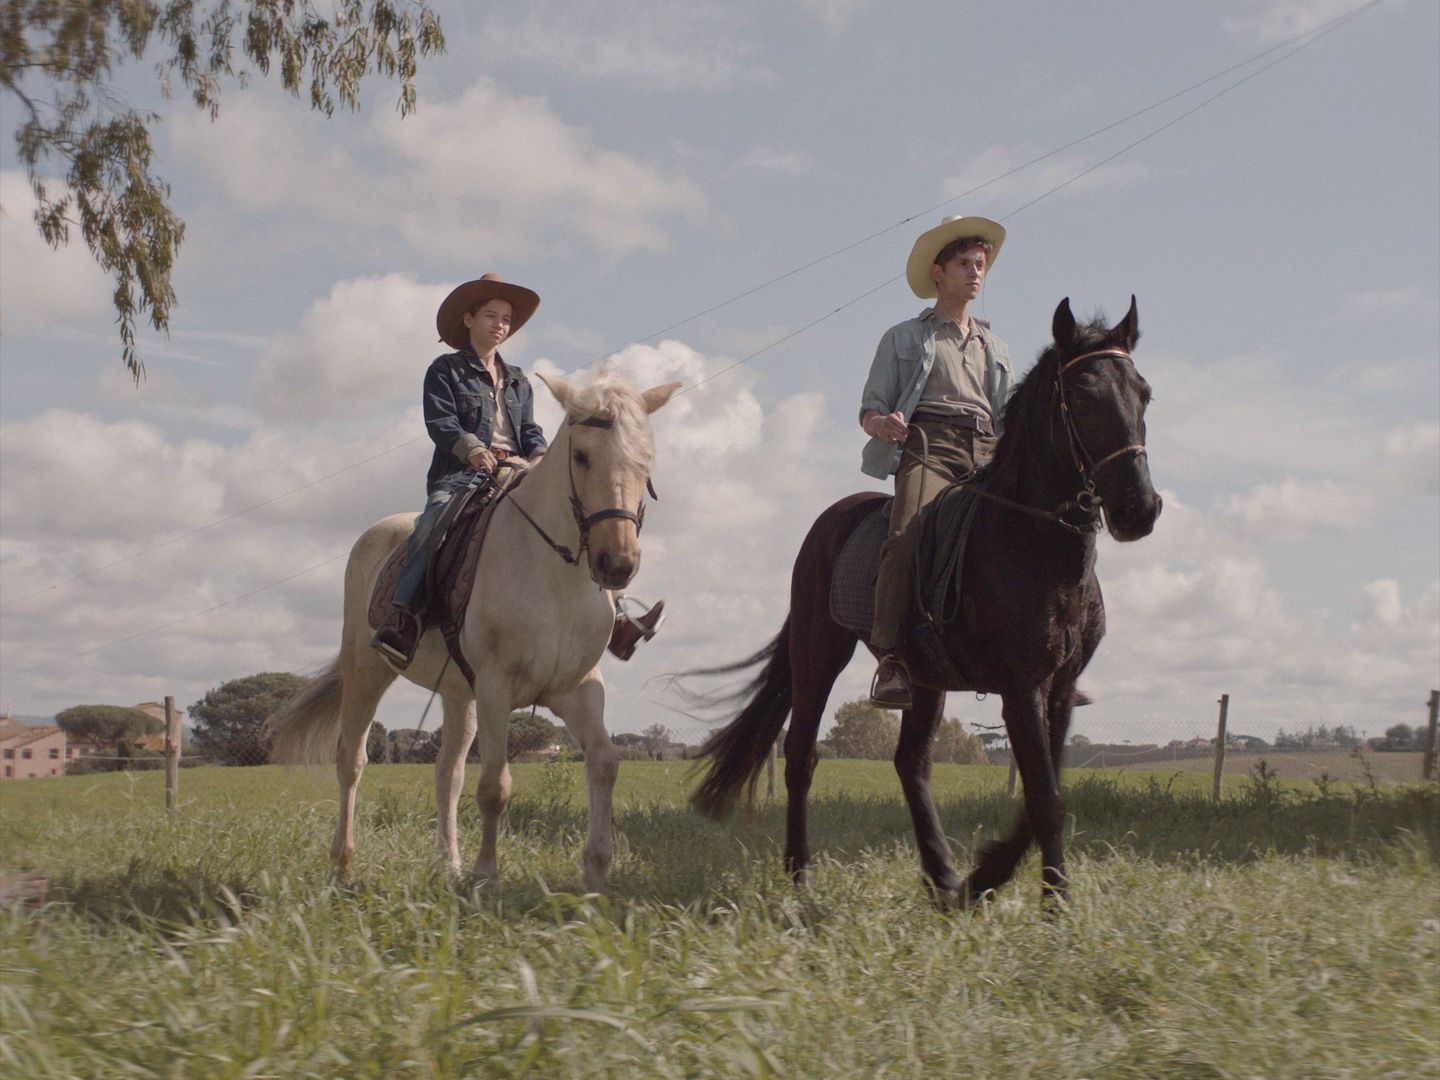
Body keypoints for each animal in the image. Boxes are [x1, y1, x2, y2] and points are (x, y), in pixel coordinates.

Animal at [269, 371, 679, 887]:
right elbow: (494, 786)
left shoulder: (577, 688)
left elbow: (605, 763)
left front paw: (596, 872)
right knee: (352, 761)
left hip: (457, 694)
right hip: (367, 671)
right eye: (582, 456)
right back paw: (343, 864)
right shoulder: (496, 687)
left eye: (645, 460)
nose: (617, 564)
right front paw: (487, 875)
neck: (554, 576)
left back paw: (450, 863)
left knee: (447, 772)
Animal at [691, 300, 1163, 910]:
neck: (1032, 539)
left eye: (1143, 393)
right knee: (800, 755)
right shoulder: (1021, 686)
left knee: (910, 765)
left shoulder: (1060, 688)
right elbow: (1045, 798)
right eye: (1083, 396)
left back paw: (943, 879)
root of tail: (829, 521)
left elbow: (1045, 795)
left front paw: (985, 877)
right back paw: (801, 875)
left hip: (924, 680)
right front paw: (1051, 902)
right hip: (819, 656)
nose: (1139, 508)